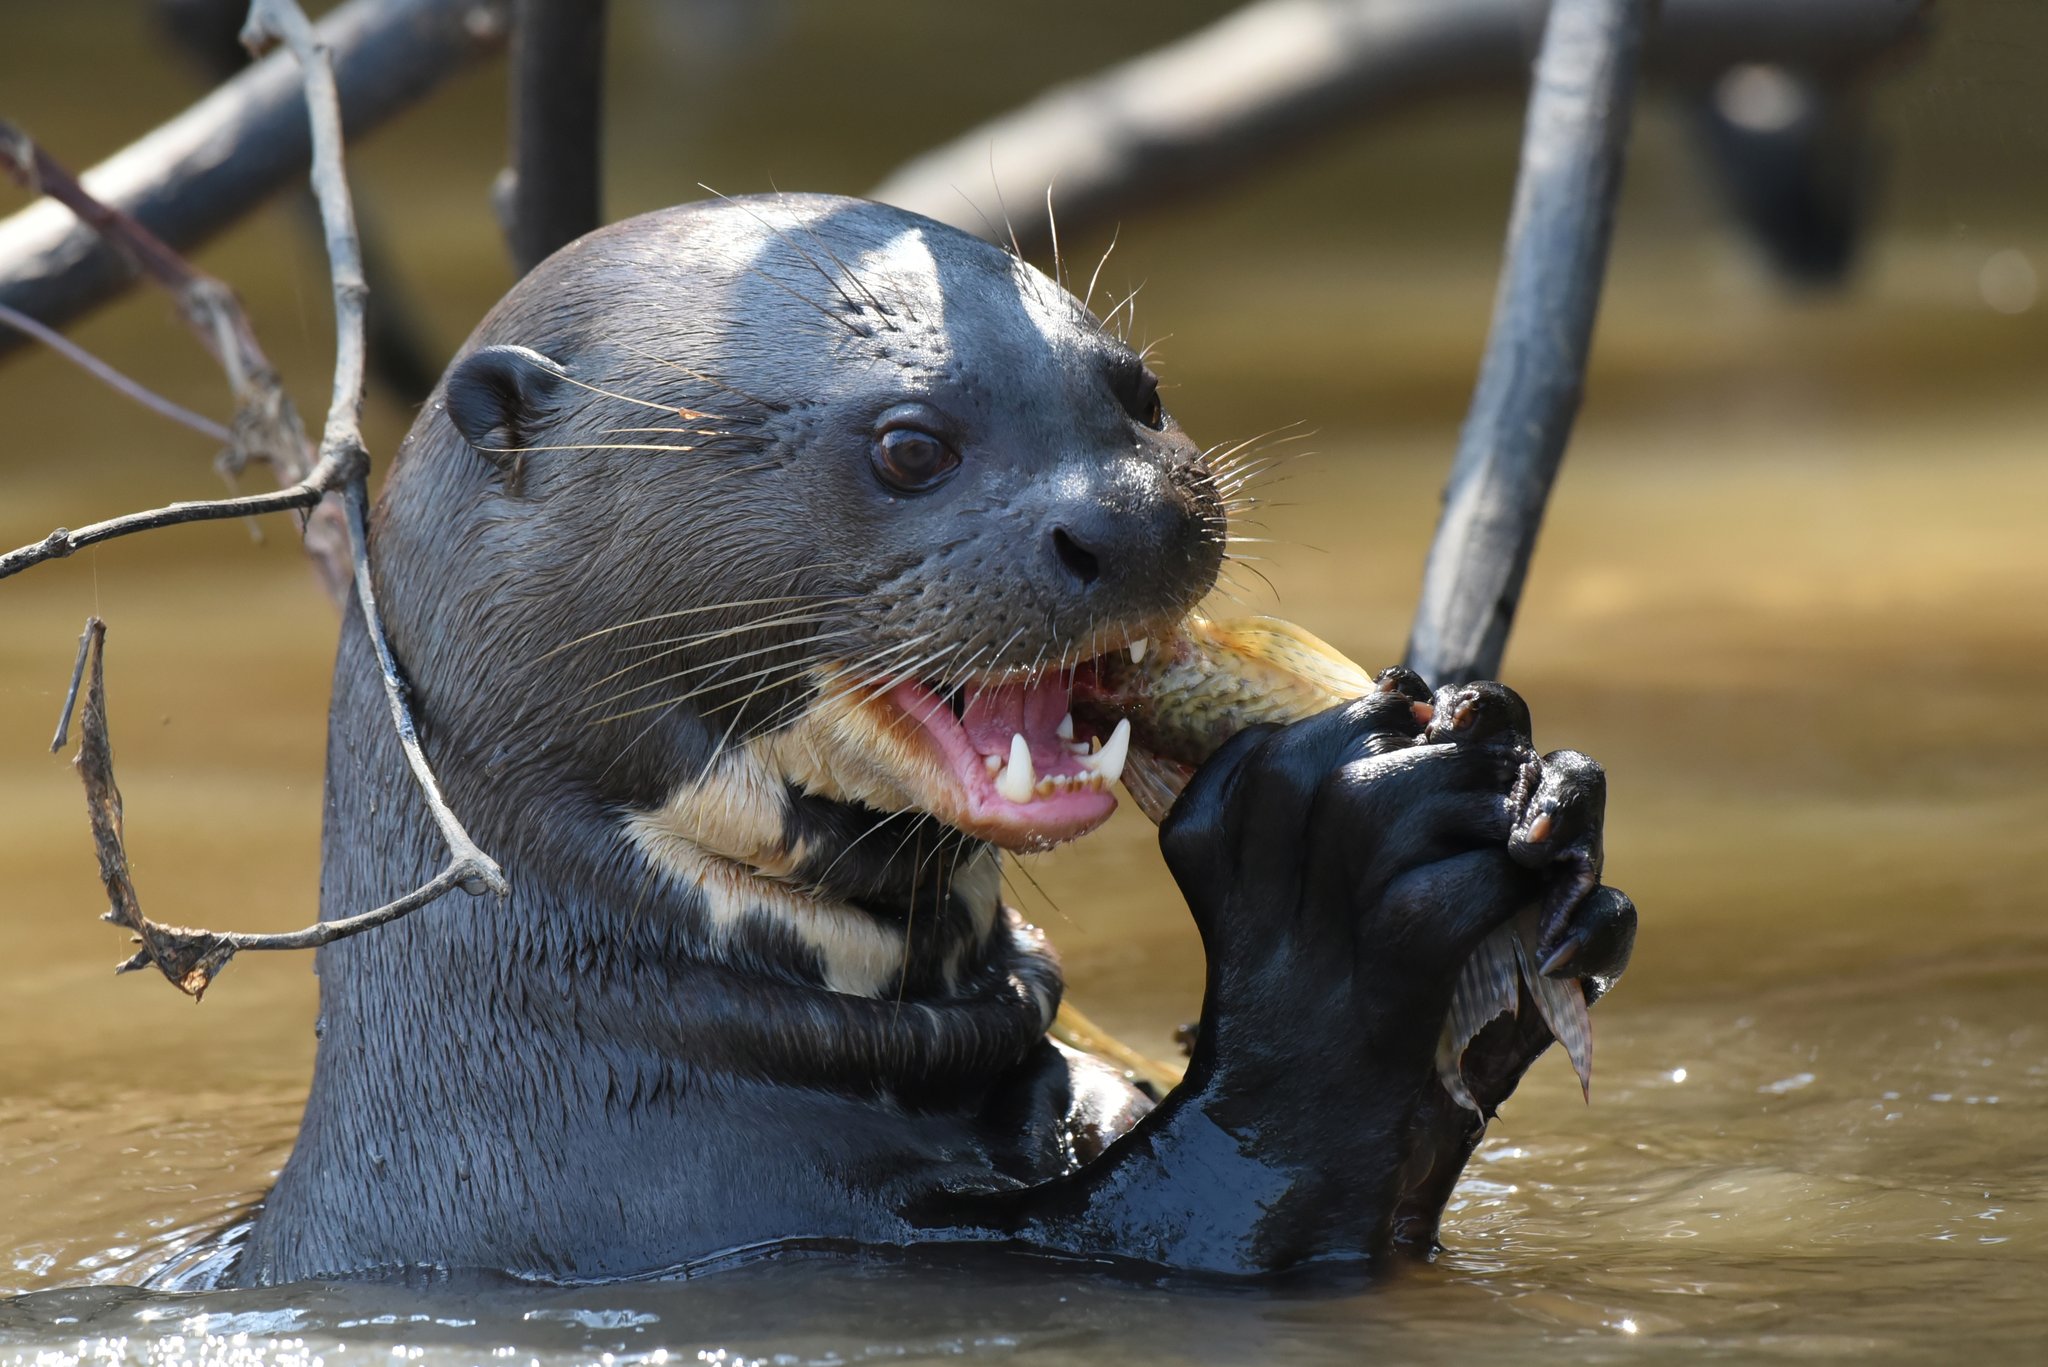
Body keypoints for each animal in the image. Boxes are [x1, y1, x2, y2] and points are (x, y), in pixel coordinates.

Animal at [221, 194, 1632, 1286]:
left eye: (1138, 391)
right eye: (909, 445)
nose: (1130, 515)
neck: (600, 1062)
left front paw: (1531, 784)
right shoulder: (676, 1209)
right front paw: (1337, 886)